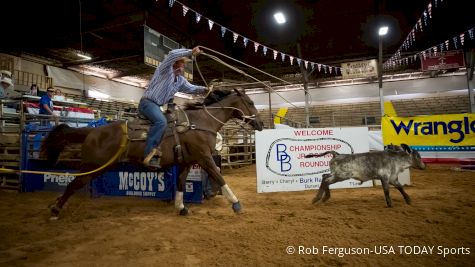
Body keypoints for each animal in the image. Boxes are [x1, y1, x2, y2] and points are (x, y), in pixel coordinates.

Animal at [41, 89, 264, 219]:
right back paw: (55, 210)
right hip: (92, 166)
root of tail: (92, 131)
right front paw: (236, 204)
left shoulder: (186, 161)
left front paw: (180, 207)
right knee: (73, 184)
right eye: (251, 103)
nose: (261, 124)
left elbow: (181, 183)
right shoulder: (204, 158)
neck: (200, 122)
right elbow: (219, 177)